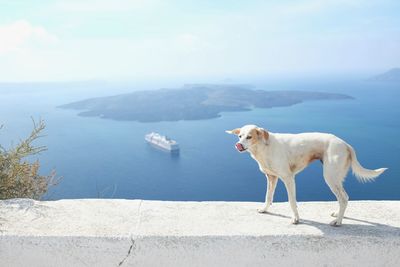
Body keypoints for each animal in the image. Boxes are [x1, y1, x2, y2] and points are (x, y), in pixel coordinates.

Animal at [228, 125, 388, 226]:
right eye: (240, 136)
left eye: (249, 137)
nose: (238, 145)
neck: (264, 147)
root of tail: (346, 144)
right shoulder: (271, 177)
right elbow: (268, 197)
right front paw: (265, 209)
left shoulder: (288, 178)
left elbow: (292, 202)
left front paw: (296, 219)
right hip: (336, 178)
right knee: (345, 198)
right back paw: (338, 215)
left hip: (330, 177)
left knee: (343, 198)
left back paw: (338, 222)